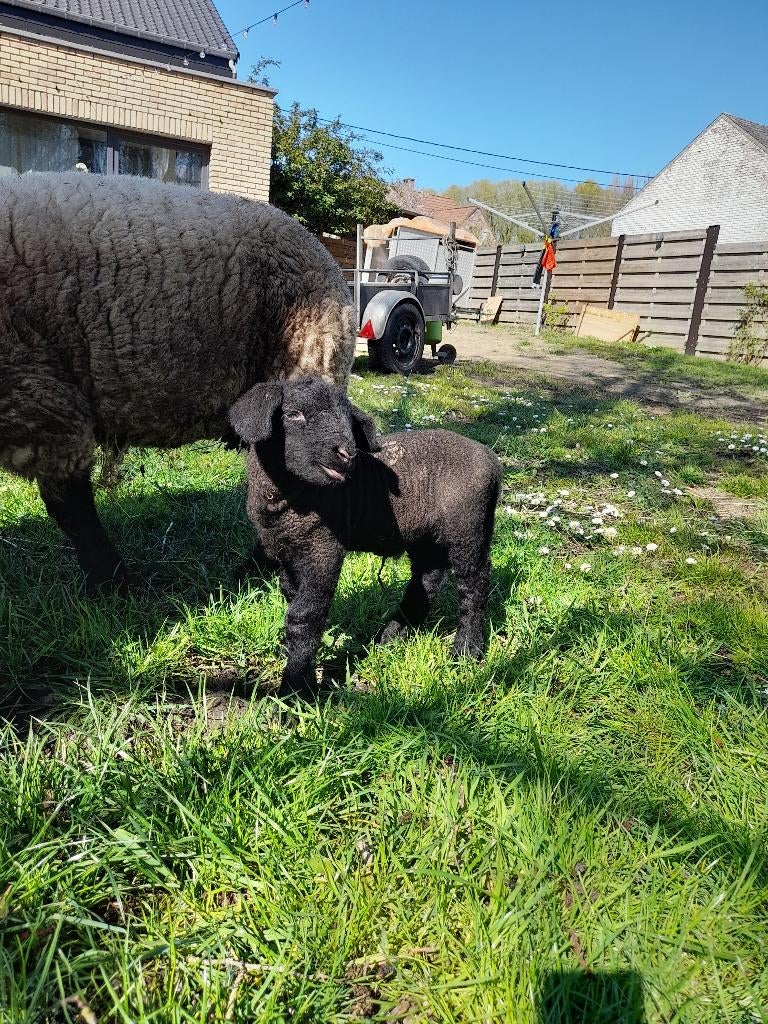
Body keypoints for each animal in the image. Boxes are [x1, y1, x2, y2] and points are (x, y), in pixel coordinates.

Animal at [0, 173, 356, 590]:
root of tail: (328, 260)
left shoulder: (39, 401)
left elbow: (71, 508)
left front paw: (113, 583)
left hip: (307, 362)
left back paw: (251, 572)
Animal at [229, 376, 502, 699]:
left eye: (348, 421)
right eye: (293, 414)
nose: (347, 453)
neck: (288, 496)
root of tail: (492, 459)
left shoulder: (324, 547)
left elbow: (304, 615)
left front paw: (295, 691)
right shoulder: (285, 550)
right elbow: (293, 598)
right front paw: (301, 670)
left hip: (468, 528)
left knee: (474, 584)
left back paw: (466, 650)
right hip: (425, 535)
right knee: (427, 580)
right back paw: (390, 638)